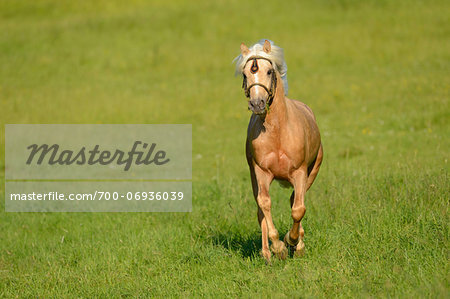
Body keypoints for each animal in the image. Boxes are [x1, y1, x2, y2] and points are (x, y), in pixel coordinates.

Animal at [234, 39, 322, 262]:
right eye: (245, 74)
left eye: (268, 71)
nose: (257, 103)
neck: (278, 131)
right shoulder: (261, 172)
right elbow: (265, 204)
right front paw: (278, 247)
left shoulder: (300, 172)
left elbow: (298, 209)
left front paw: (292, 241)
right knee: (260, 210)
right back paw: (267, 253)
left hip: (312, 172)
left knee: (295, 201)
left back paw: (298, 243)